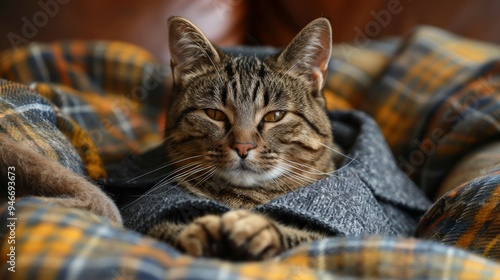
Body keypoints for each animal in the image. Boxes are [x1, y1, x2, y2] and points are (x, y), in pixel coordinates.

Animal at [145, 15, 340, 260]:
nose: (243, 147)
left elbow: (313, 237)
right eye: (214, 114)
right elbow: (158, 231)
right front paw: (199, 232)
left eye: (275, 116)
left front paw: (258, 229)